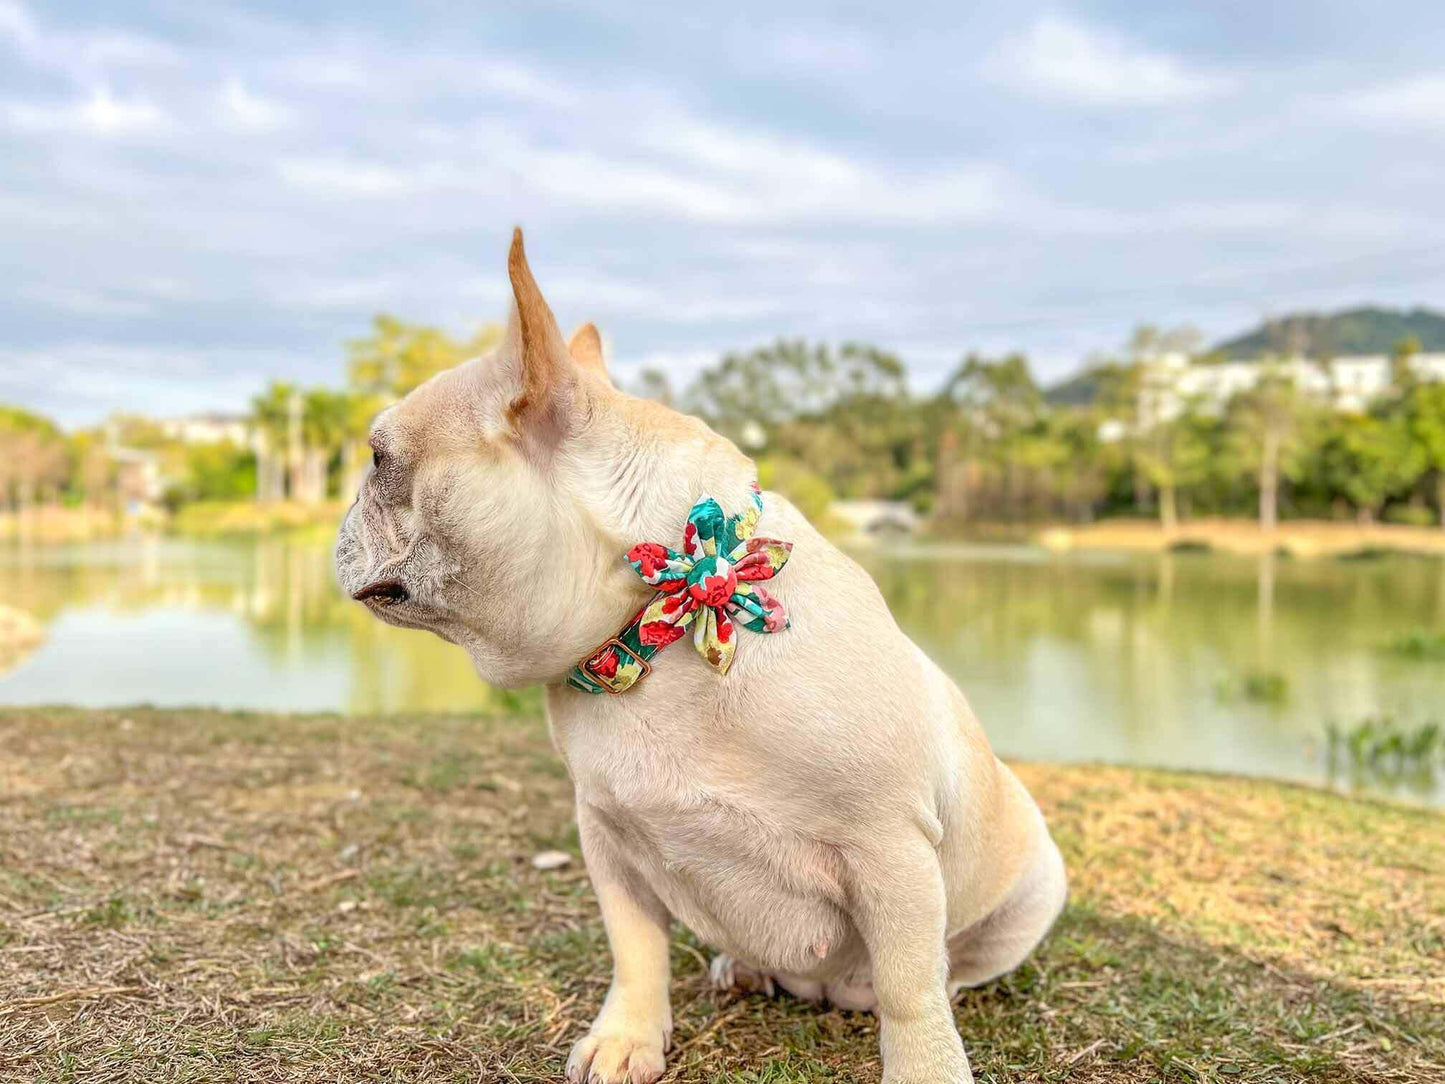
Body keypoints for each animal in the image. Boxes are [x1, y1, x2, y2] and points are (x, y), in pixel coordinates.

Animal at [335, 231, 1063, 1084]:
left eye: (377, 459)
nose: (343, 511)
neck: (651, 627)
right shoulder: (607, 836)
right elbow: (635, 947)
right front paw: (627, 1037)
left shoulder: (891, 848)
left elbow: (911, 983)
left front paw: (923, 1065)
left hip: (1032, 889)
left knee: (945, 967)